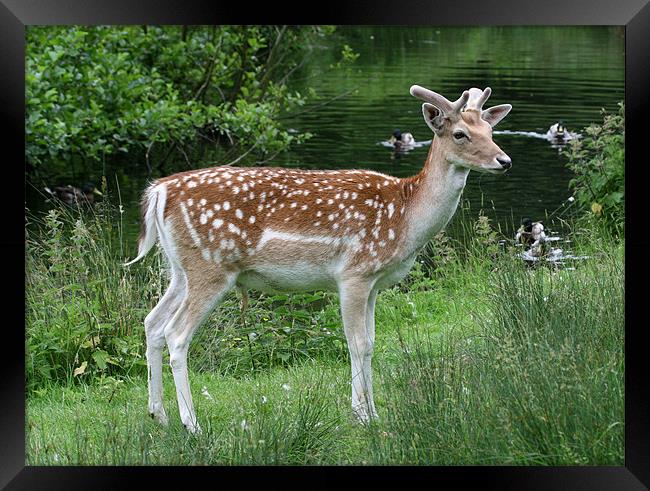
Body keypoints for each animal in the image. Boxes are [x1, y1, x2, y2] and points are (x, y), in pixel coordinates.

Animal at [125, 85, 512, 434]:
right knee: (176, 334)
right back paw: (192, 424)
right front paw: (362, 416)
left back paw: (158, 415)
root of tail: (159, 191)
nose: (504, 160)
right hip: (211, 267)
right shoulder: (354, 272)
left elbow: (371, 344)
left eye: (490, 131)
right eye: (460, 134)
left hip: (180, 268)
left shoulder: (375, 283)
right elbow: (357, 343)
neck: (405, 218)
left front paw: (373, 413)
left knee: (152, 322)